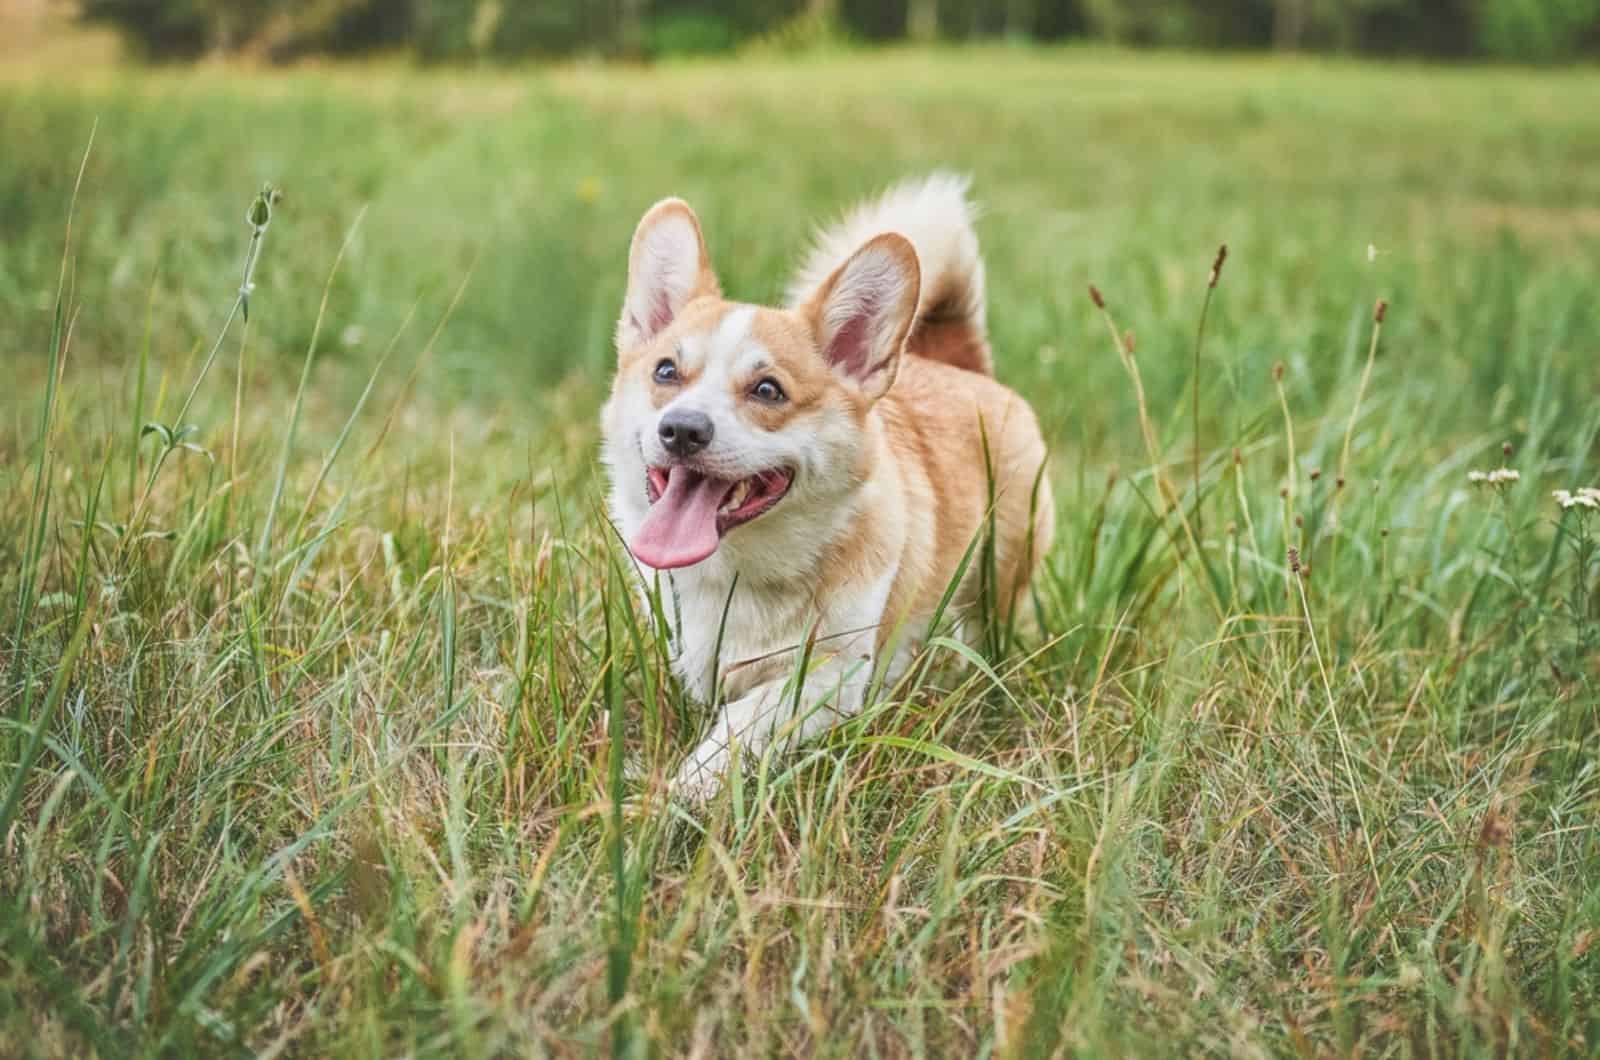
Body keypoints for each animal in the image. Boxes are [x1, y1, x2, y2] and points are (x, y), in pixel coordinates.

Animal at [601, 174, 1049, 800]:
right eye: (666, 371)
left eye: (768, 390)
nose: (682, 429)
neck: (741, 573)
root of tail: (962, 365)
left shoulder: (829, 676)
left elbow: (743, 721)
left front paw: (683, 791)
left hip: (997, 578)